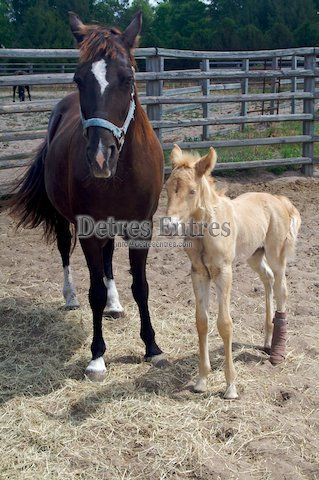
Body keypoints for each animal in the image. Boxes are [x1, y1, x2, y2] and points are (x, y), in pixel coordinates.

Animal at [7, 10, 166, 378]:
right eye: (79, 80)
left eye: (128, 78)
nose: (100, 158)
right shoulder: (88, 230)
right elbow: (94, 291)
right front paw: (97, 356)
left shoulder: (142, 228)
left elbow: (141, 287)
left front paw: (151, 347)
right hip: (64, 221)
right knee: (65, 252)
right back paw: (70, 297)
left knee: (108, 261)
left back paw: (115, 303)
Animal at [166, 145, 302, 398]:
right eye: (168, 188)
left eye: (192, 191)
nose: (169, 225)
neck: (206, 231)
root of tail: (279, 200)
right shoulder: (198, 273)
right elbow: (202, 321)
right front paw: (201, 380)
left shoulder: (223, 272)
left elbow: (224, 324)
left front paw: (230, 386)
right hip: (254, 255)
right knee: (267, 279)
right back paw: (267, 340)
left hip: (276, 255)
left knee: (282, 289)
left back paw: (277, 351)